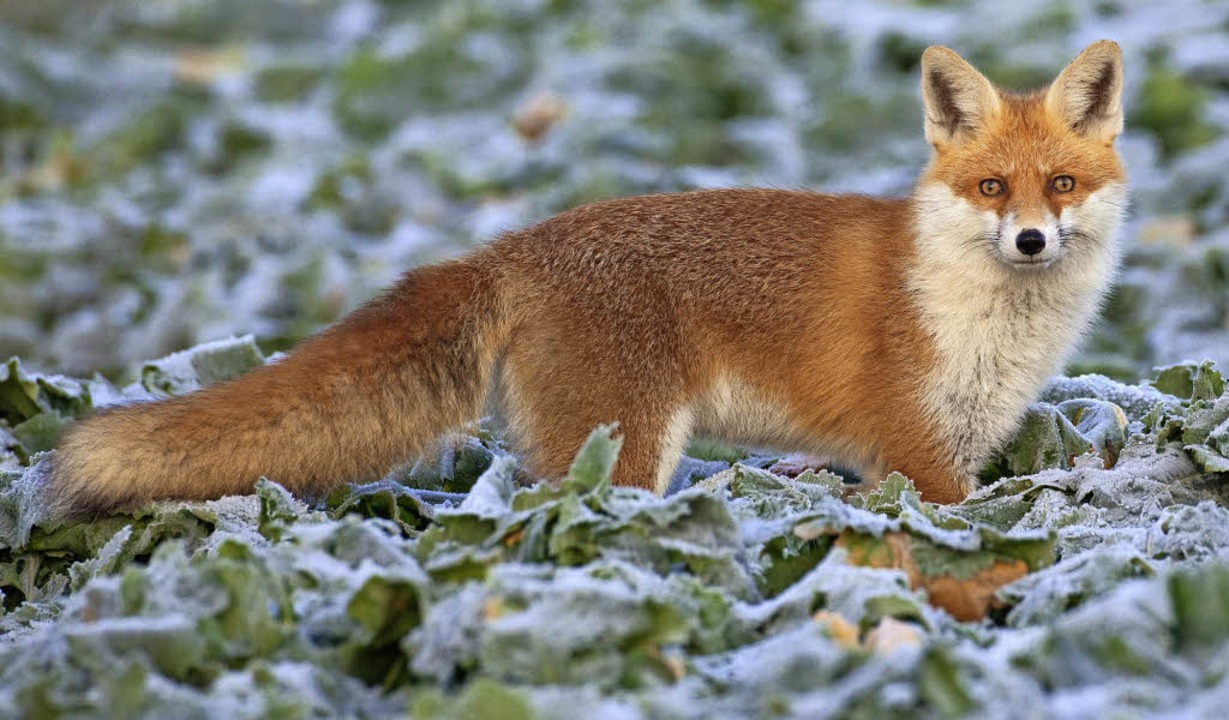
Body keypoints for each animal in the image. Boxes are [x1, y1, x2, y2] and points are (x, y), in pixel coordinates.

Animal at [45, 39, 1125, 513]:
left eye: (1061, 184)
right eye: (990, 188)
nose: (1031, 241)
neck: (984, 329)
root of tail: (508, 247)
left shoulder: (952, 448)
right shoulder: (910, 454)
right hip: (625, 455)